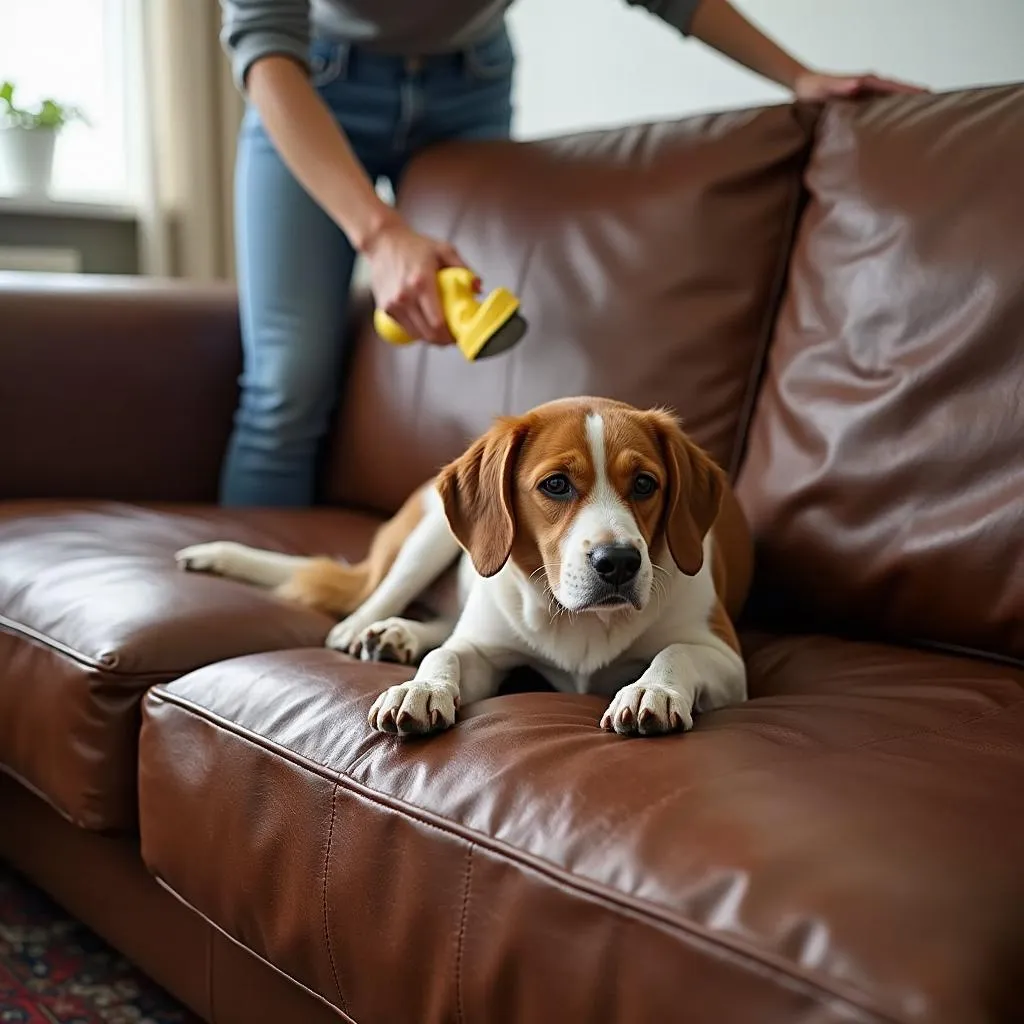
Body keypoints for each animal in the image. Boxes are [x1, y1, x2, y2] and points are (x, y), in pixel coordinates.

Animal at [176, 395, 753, 741]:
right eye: (556, 485)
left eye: (645, 484)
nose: (619, 563)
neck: (581, 622)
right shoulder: (483, 650)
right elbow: (448, 655)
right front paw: (420, 688)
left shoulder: (728, 661)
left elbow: (676, 650)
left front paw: (651, 689)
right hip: (428, 534)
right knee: (380, 603)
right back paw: (368, 630)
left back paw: (399, 635)